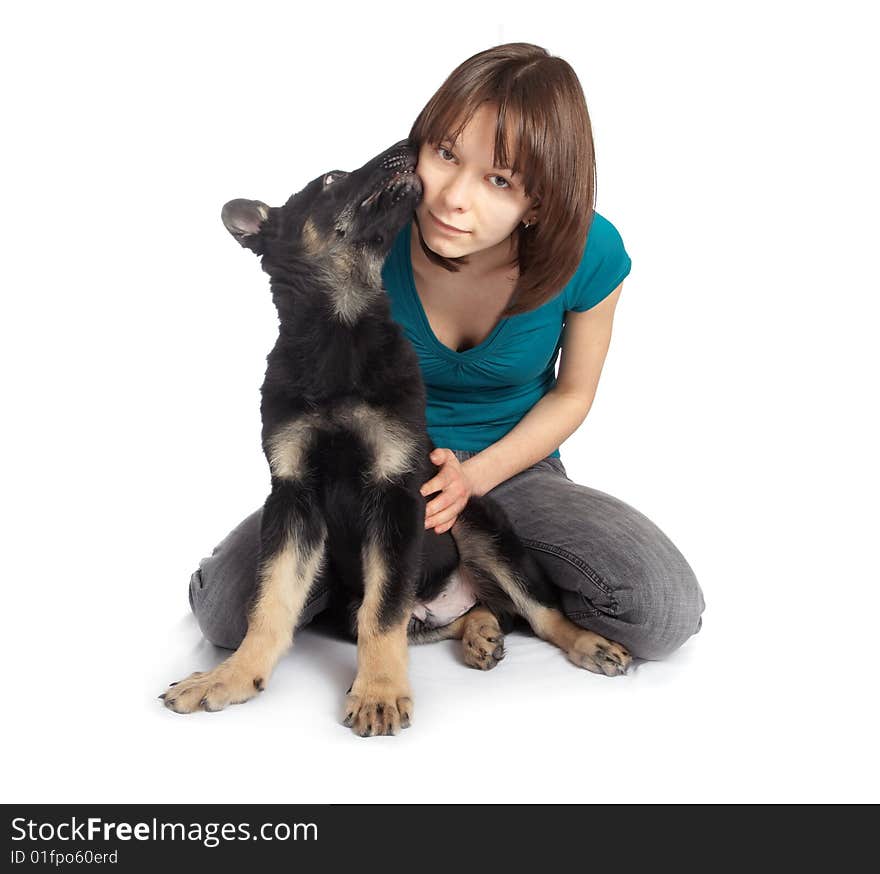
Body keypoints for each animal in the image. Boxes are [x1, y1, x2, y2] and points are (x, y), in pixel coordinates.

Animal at [160, 138, 632, 736]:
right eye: (332, 178)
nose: (411, 146)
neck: (339, 330)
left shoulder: (395, 493)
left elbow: (381, 612)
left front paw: (379, 692)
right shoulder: (293, 498)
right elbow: (271, 604)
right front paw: (231, 677)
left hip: (480, 526)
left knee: (538, 612)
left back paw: (587, 643)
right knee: (463, 614)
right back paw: (481, 633)